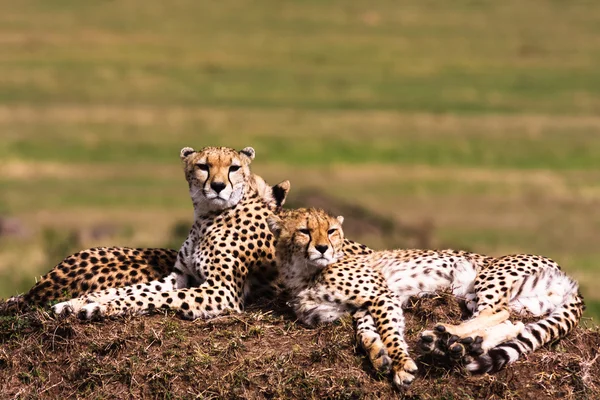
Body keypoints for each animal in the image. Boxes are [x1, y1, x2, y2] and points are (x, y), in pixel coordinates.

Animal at [266, 209, 580, 388]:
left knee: (497, 312)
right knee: (513, 323)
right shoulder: (363, 307)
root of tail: (566, 276)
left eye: (332, 231)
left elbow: (390, 331)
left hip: (488, 276)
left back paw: (444, 336)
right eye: (304, 231)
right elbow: (366, 333)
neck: (303, 272)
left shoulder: (382, 294)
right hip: (505, 301)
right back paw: (466, 343)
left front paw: (401, 364)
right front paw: (379, 356)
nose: (322, 248)